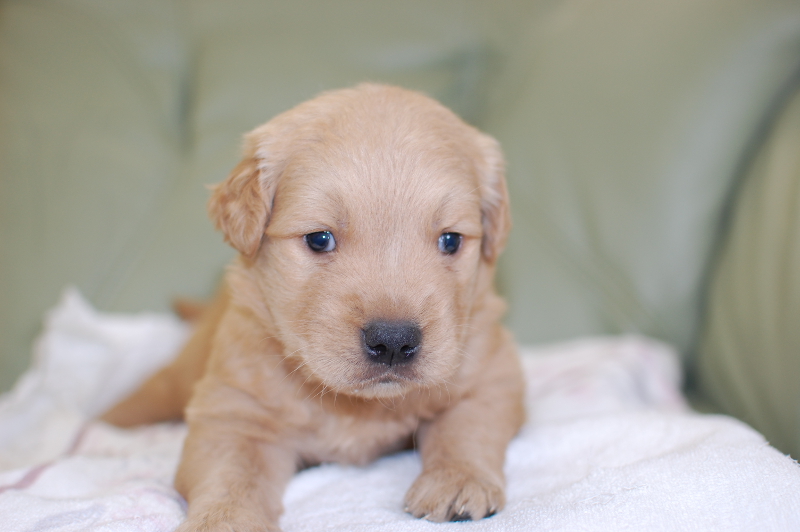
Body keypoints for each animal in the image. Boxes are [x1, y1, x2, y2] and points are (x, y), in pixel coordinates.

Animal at [101, 84, 524, 532]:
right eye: (319, 238)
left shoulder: (491, 371)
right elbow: (230, 473)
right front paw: (225, 520)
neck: (356, 405)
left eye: (451, 240)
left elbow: (466, 425)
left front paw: (457, 479)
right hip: (179, 375)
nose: (393, 341)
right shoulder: (234, 410)